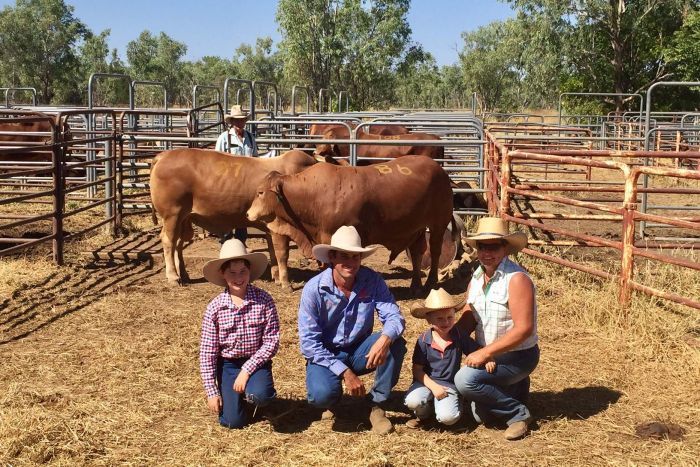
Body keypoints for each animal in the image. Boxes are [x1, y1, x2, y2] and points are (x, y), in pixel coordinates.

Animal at [149, 148, 318, 287]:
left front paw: (276, 277)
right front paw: (285, 282)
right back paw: (173, 277)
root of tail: (163, 155)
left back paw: (183, 275)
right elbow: (282, 254)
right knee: (168, 241)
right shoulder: (280, 228)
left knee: (178, 244)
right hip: (172, 214)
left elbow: (273, 251)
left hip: (183, 219)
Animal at [246, 155, 455, 293]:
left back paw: (430, 282)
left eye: (260, 192)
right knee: (417, 252)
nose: (248, 214)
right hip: (416, 229)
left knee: (435, 251)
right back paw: (415, 285)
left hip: (438, 224)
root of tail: (440, 170)